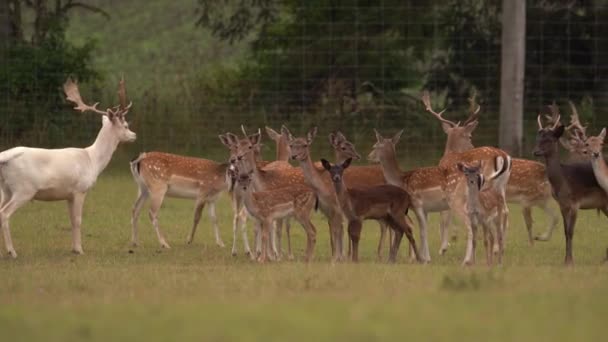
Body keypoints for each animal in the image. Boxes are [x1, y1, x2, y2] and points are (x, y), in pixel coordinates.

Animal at [0, 77, 137, 256]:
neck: (92, 160)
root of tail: (4, 157)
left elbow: (71, 220)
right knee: (4, 214)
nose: (134, 135)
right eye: (126, 125)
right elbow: (78, 220)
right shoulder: (80, 189)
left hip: (6, 189)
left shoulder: (68, 195)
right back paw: (12, 252)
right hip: (24, 189)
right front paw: (79, 250)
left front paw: (73, 248)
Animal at [420, 91, 560, 246]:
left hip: (489, 182)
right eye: (470, 136)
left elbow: (446, 214)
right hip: (507, 188)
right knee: (507, 210)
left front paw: (449, 240)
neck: (448, 155)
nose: (472, 146)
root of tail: (502, 156)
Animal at [532, 109, 608, 264]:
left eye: (550, 139)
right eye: (538, 138)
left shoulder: (575, 203)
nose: (535, 152)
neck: (562, 182)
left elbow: (571, 231)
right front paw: (566, 260)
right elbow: (565, 232)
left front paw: (570, 262)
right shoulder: (563, 204)